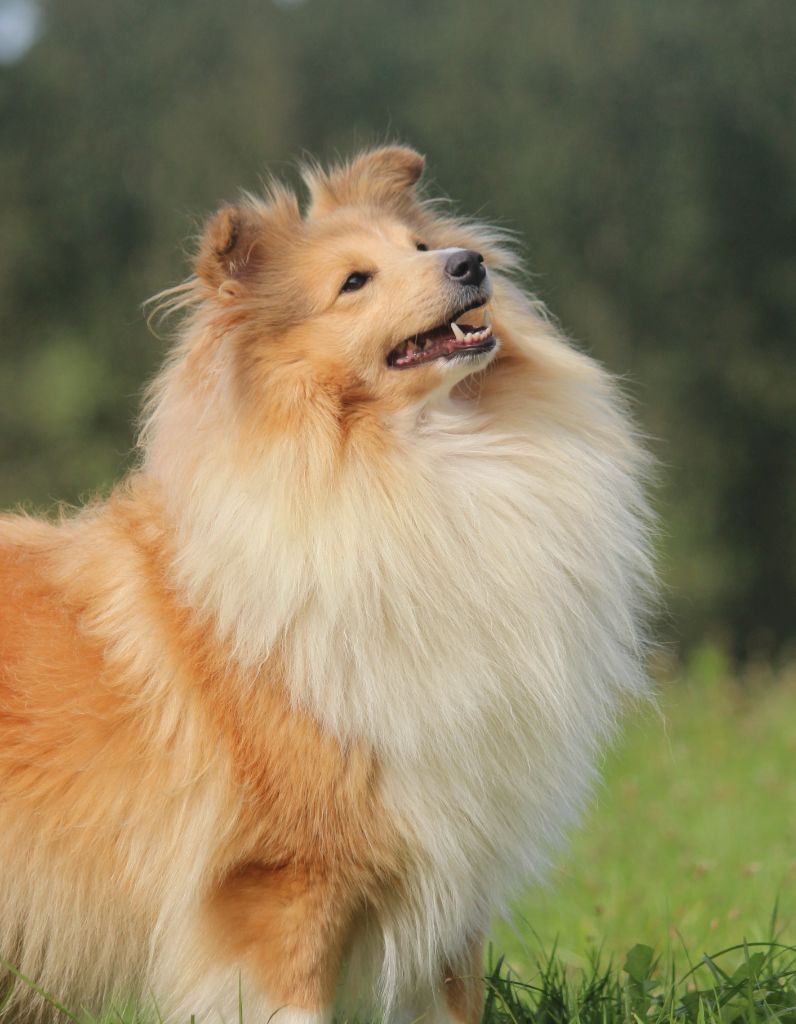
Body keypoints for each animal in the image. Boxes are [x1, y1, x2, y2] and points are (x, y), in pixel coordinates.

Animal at [0, 146, 651, 1024]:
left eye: (419, 247)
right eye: (354, 283)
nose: (469, 263)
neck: (418, 466)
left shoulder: (453, 875)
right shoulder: (286, 880)